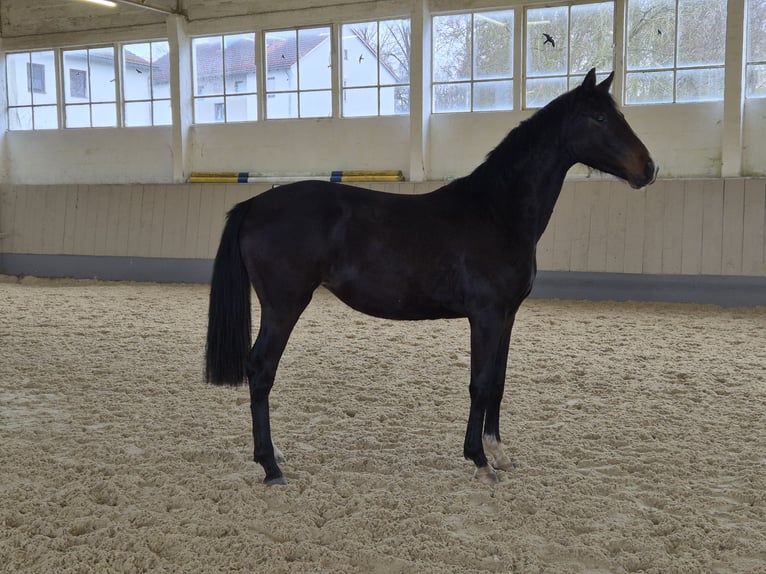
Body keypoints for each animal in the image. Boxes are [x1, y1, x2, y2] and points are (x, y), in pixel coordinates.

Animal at [204, 68, 657, 485]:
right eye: (599, 118)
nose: (649, 168)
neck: (497, 212)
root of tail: (254, 204)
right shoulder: (485, 316)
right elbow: (480, 383)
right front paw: (478, 460)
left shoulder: (507, 317)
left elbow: (498, 381)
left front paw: (498, 452)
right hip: (284, 306)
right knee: (261, 370)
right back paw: (271, 465)